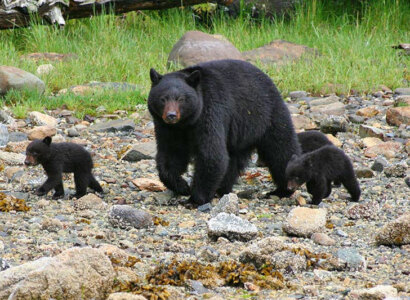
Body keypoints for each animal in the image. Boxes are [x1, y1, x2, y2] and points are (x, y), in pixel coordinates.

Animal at [148, 58, 302, 206]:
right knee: (233, 160)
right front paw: (182, 186)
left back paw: (282, 190)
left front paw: (194, 200)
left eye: (181, 99)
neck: (185, 124)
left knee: (281, 151)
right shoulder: (167, 128)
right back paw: (222, 189)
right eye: (163, 99)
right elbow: (170, 155)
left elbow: (212, 155)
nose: (171, 115)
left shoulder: (210, 113)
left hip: (268, 116)